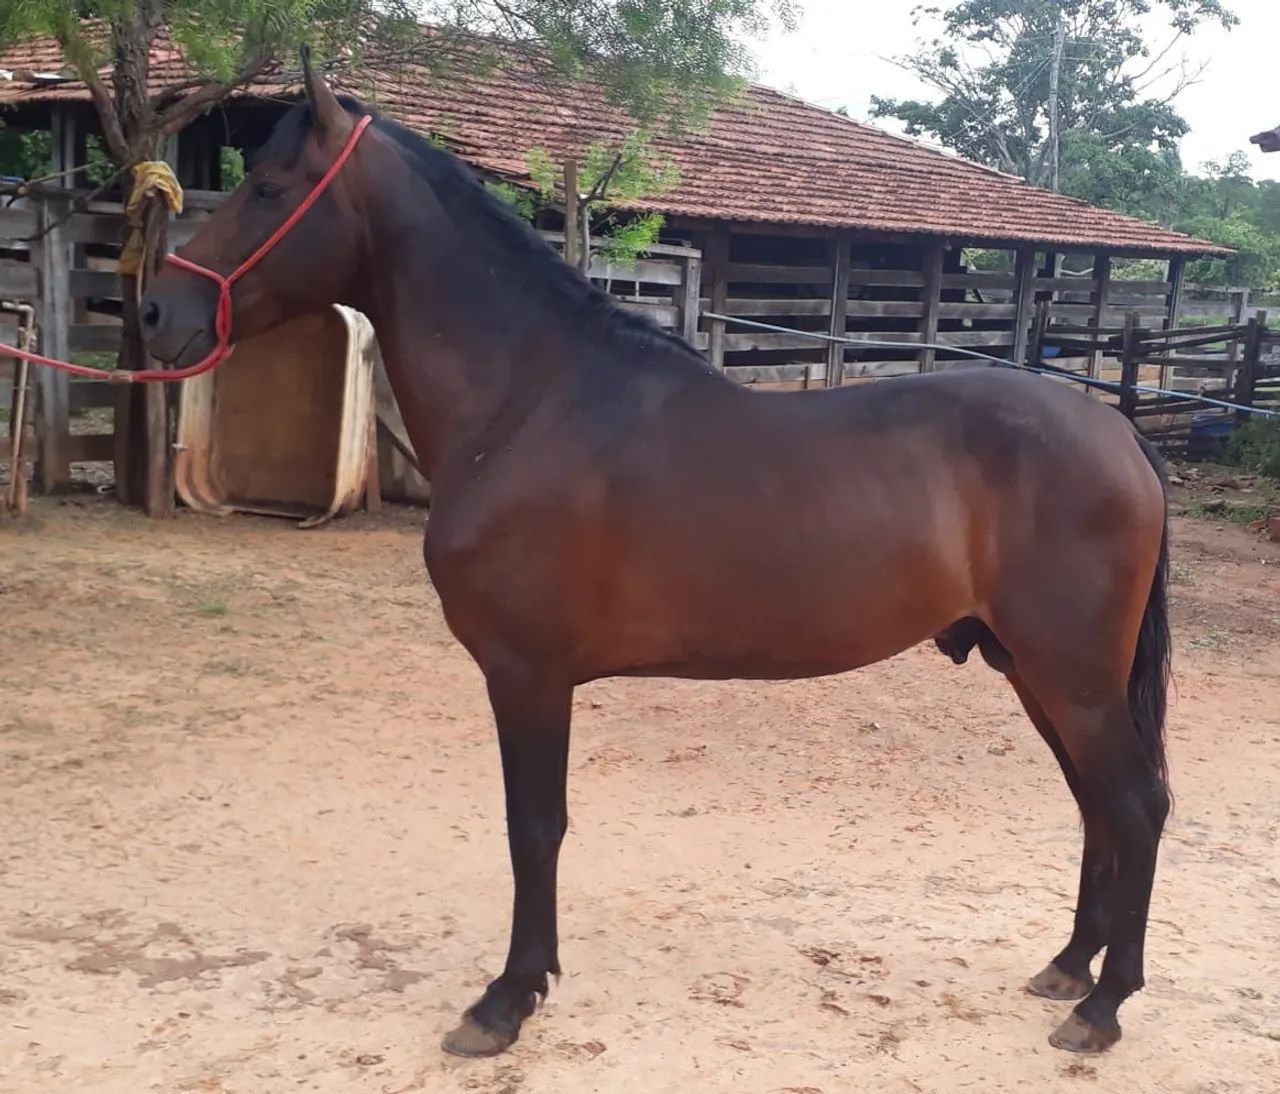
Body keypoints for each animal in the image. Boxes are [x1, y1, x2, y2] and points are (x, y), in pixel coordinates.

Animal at [140, 55, 1173, 1059]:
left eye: (269, 188)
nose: (156, 311)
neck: (531, 403)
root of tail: (1119, 432)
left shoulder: (525, 672)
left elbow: (533, 827)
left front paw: (506, 1000)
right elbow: (538, 827)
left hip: (1071, 676)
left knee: (1135, 804)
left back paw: (1104, 1005)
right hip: (1035, 672)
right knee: (1096, 804)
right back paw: (1069, 967)